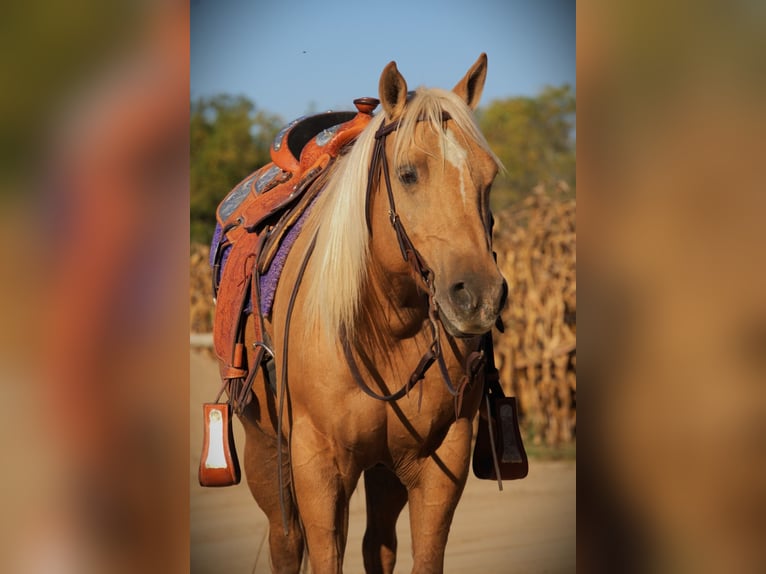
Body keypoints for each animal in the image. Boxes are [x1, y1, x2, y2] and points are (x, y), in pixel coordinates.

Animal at [235, 54, 506, 573]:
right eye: (408, 174)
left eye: (490, 176)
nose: (478, 296)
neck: (386, 326)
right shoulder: (317, 465)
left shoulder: (441, 460)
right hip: (264, 450)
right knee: (286, 541)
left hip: (385, 469)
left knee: (378, 543)